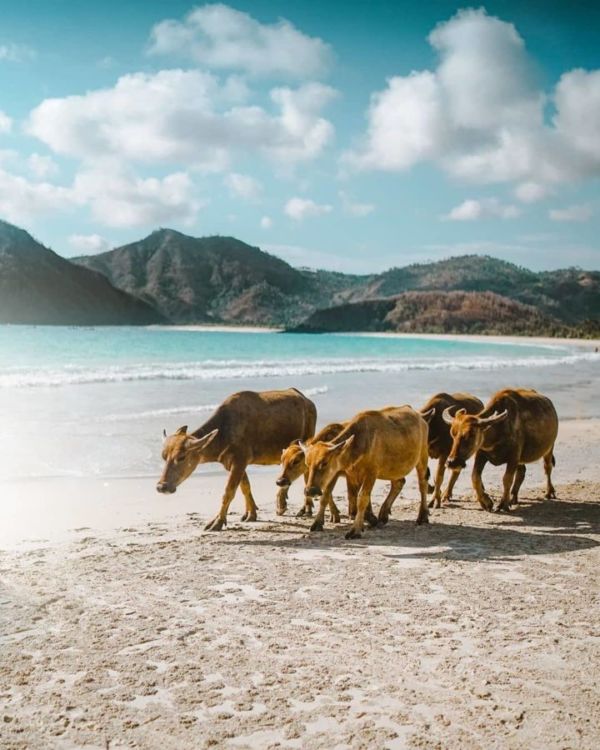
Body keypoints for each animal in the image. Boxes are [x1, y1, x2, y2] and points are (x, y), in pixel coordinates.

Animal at [158, 390, 318, 532]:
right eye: (164, 456)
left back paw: (305, 507)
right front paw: (251, 514)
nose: (161, 486)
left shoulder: (239, 462)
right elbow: (245, 487)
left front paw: (218, 522)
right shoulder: (233, 464)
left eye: (181, 457)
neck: (224, 431)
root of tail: (308, 402)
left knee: (305, 472)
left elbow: (228, 491)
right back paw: (282, 504)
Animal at [302, 408, 428, 536]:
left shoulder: (371, 474)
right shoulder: (341, 474)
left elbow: (362, 499)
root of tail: (420, 418)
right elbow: (326, 496)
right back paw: (382, 516)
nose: (310, 490)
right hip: (395, 469)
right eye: (307, 464)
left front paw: (356, 529)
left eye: (324, 463)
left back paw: (422, 516)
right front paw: (317, 523)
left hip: (422, 457)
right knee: (398, 483)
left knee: (423, 484)